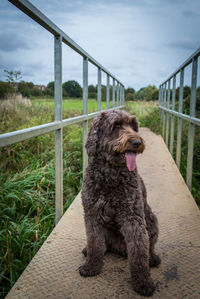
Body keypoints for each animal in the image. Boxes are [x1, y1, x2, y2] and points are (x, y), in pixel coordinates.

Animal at [79, 110, 160, 298]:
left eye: (134, 126)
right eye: (116, 125)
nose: (137, 142)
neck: (110, 174)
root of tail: (119, 247)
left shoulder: (133, 218)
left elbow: (139, 251)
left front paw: (143, 282)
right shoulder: (92, 215)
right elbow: (95, 243)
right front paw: (91, 266)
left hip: (151, 219)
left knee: (149, 245)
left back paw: (152, 258)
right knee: (104, 245)